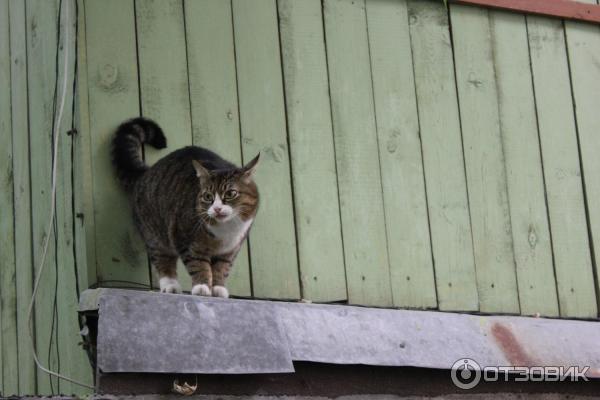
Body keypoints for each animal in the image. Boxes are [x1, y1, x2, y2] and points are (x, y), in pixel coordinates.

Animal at [112, 115, 260, 296]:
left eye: (231, 193)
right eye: (208, 196)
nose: (217, 208)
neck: (226, 230)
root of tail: (146, 172)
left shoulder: (230, 250)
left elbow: (222, 268)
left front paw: (218, 288)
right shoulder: (184, 238)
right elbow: (198, 263)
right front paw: (202, 286)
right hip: (155, 233)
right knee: (162, 259)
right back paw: (170, 285)